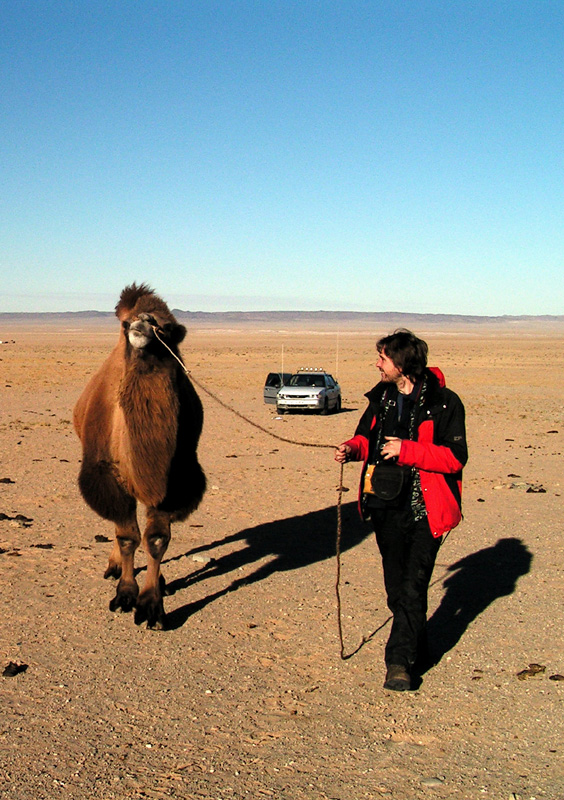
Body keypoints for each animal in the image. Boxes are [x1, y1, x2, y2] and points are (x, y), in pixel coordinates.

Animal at [74, 284, 207, 628]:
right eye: (126, 323)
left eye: (167, 327)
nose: (142, 323)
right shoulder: (107, 473)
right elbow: (127, 538)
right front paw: (124, 594)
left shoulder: (174, 479)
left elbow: (157, 540)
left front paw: (151, 605)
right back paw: (114, 567)